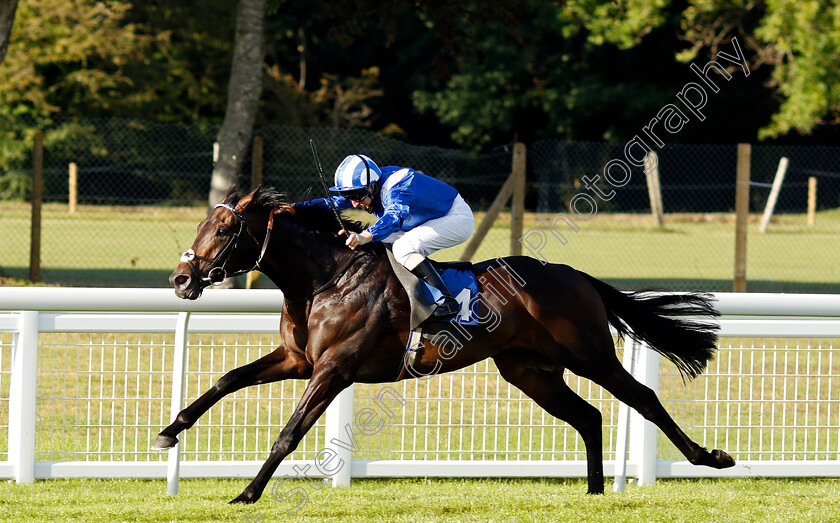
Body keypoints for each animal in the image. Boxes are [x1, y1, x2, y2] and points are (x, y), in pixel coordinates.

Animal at [154, 184, 732, 504]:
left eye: (224, 230)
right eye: (204, 222)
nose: (181, 280)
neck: (328, 279)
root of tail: (577, 276)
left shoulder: (333, 369)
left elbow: (288, 434)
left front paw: (247, 492)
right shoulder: (299, 359)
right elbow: (227, 380)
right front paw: (169, 432)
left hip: (588, 354)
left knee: (644, 399)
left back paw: (709, 457)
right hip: (529, 371)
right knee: (588, 416)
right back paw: (592, 492)